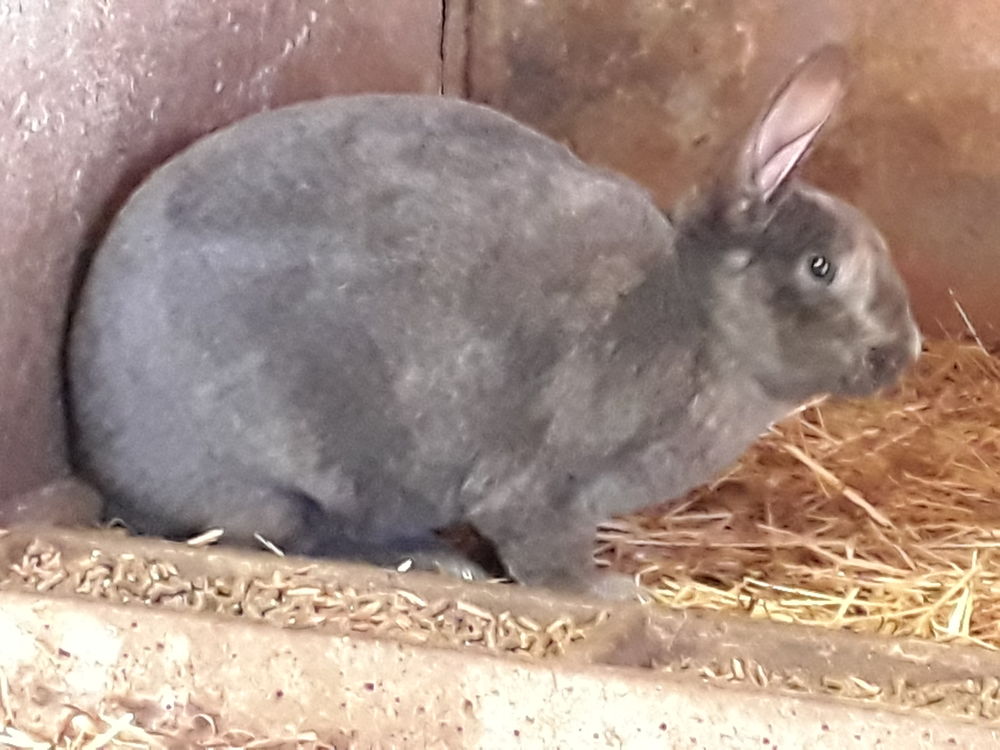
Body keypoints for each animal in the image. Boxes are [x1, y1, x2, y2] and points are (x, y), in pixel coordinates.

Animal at [68, 44, 921, 597]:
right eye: (822, 268)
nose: (904, 352)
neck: (693, 318)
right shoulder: (546, 486)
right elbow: (545, 553)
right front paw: (609, 593)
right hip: (271, 479)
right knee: (297, 535)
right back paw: (435, 561)